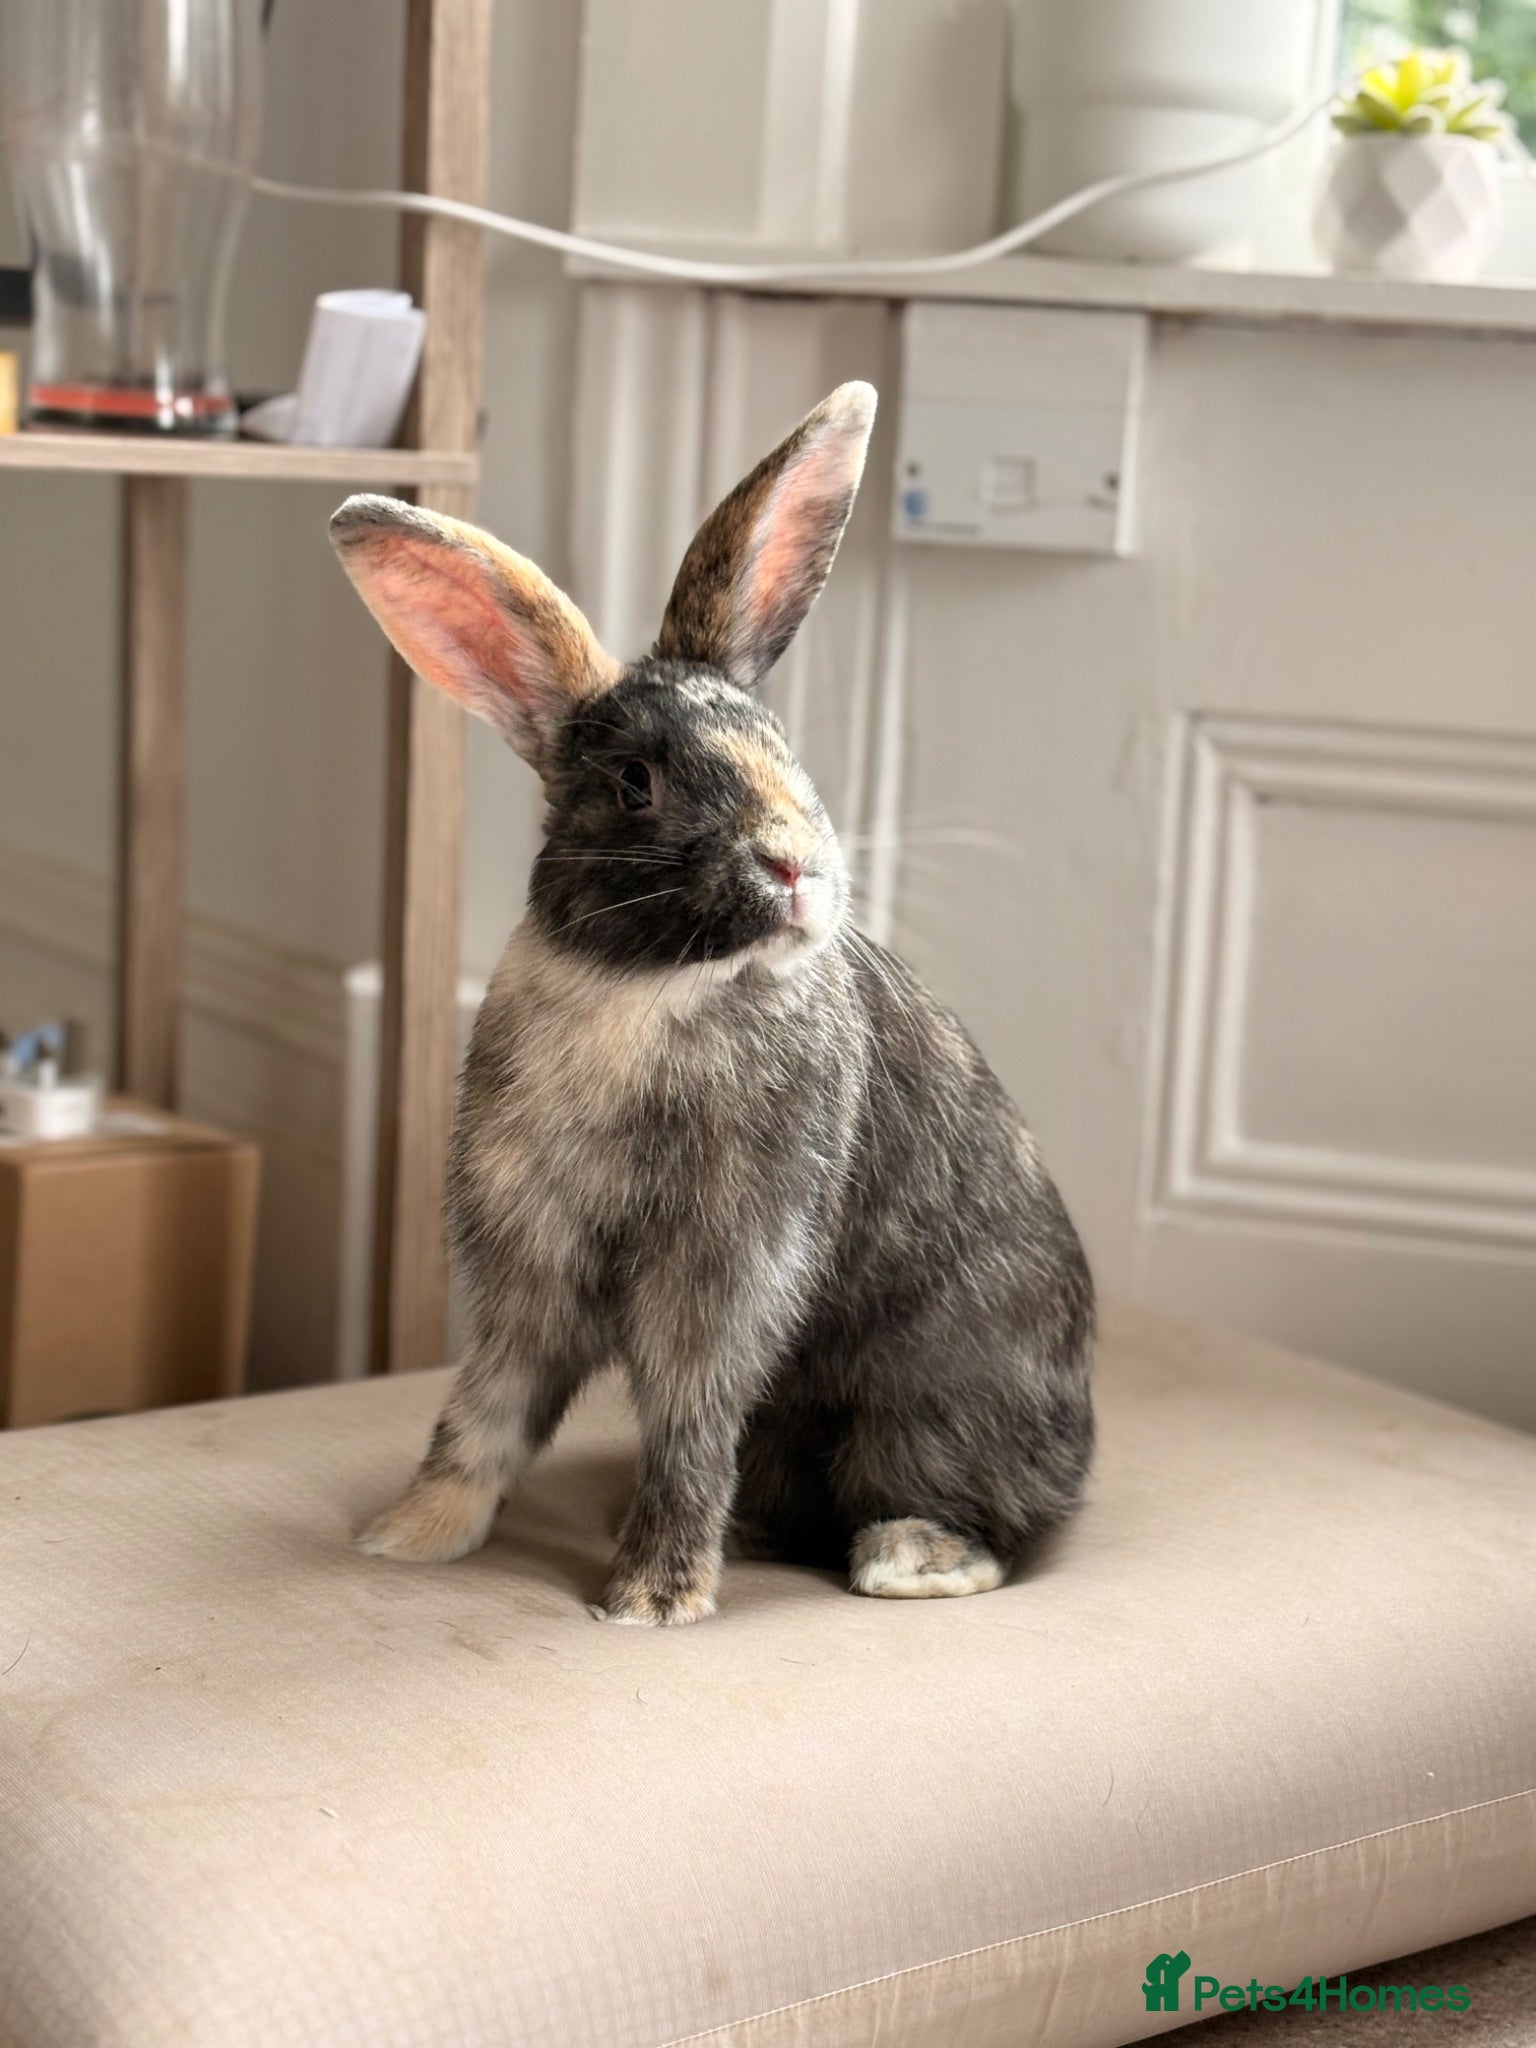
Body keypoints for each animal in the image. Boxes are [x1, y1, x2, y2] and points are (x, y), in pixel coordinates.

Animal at [330, 380, 1093, 1626]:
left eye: (786, 750)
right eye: (635, 783)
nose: (792, 864)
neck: (645, 985)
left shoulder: (726, 1270)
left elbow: (688, 1421)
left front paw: (652, 1597)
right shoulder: (524, 1261)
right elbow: (486, 1408)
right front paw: (406, 1536)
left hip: (933, 1412)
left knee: (988, 1528)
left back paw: (906, 1558)